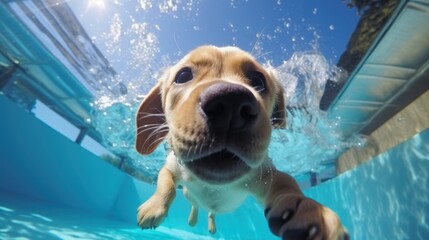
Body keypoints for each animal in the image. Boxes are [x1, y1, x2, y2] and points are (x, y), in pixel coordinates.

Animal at [135, 45, 346, 240]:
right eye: (183, 75)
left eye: (258, 80)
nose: (231, 101)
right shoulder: (171, 167)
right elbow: (166, 184)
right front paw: (154, 206)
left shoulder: (265, 175)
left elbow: (287, 184)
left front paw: (308, 209)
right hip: (188, 193)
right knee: (195, 204)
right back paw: (193, 219)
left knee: (211, 212)